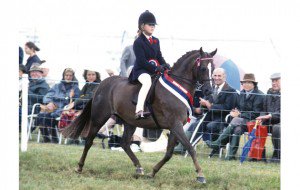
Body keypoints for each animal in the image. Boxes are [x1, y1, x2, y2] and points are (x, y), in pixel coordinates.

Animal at [63, 46, 217, 183]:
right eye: (204, 68)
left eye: (213, 69)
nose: (209, 91)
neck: (178, 84)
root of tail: (102, 84)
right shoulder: (176, 125)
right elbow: (190, 148)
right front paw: (201, 175)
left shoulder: (174, 127)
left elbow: (169, 153)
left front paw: (152, 172)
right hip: (99, 118)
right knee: (89, 141)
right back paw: (79, 167)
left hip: (130, 122)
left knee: (125, 143)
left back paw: (139, 168)